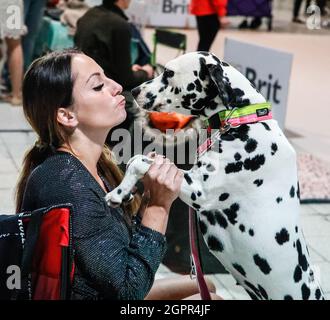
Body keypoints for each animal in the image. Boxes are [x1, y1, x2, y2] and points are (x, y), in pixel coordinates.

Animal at [105, 51, 324, 298]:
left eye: (169, 72)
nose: (133, 91)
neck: (242, 119)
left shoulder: (198, 189)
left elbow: (139, 162)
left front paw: (118, 193)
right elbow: (136, 160)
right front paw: (125, 193)